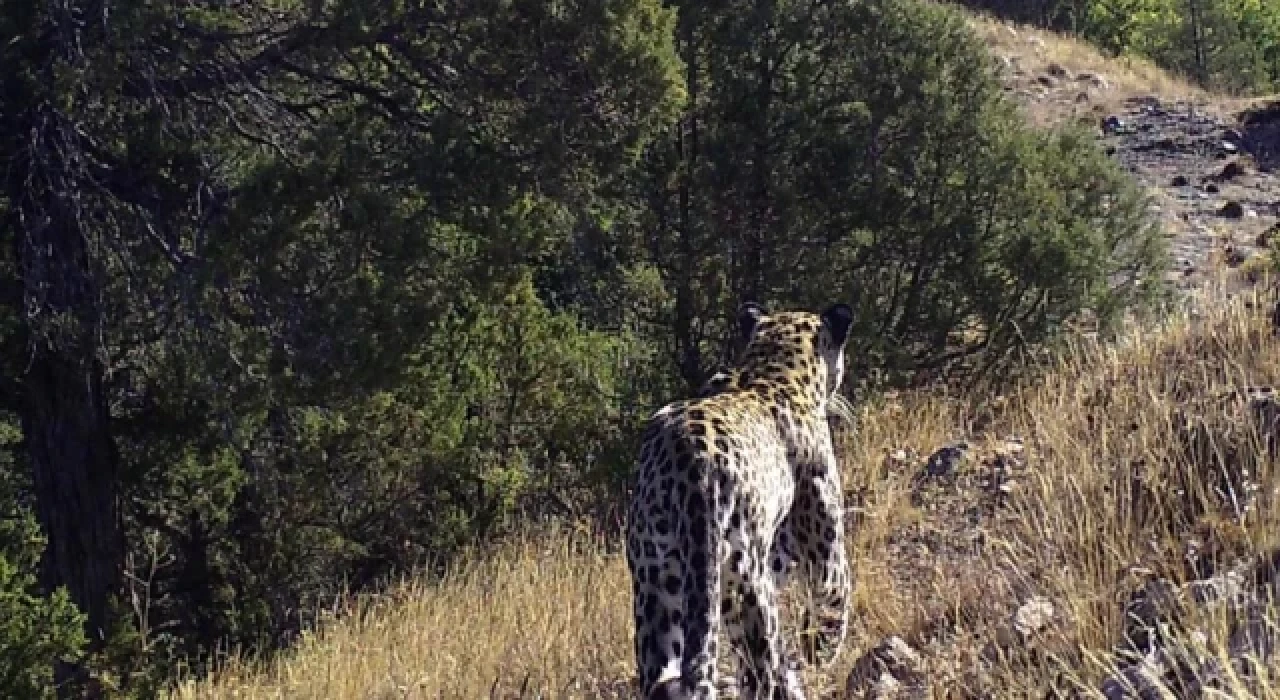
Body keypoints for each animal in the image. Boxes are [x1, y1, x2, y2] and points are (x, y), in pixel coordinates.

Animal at [624, 304, 855, 700]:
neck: (775, 370)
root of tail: (691, 464)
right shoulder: (824, 556)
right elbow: (834, 600)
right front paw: (818, 651)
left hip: (655, 585)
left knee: (663, 675)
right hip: (747, 587)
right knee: (758, 671)